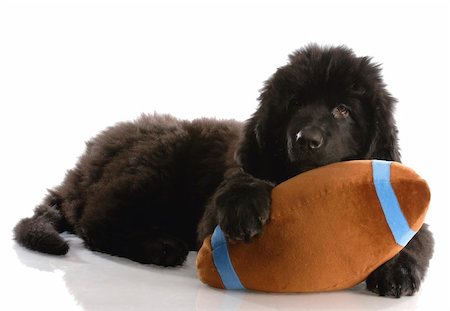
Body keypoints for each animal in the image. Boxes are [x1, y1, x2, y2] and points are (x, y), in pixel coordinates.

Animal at [15, 44, 434, 298]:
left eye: (343, 110)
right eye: (295, 104)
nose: (307, 139)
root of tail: (79, 168)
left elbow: (417, 239)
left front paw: (396, 272)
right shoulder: (216, 203)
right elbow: (239, 183)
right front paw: (244, 207)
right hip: (155, 159)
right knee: (94, 222)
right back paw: (158, 246)